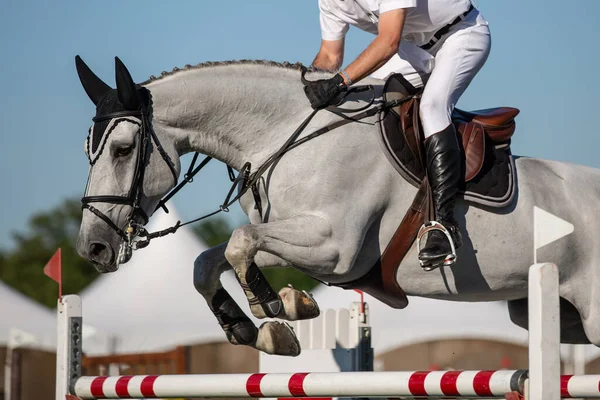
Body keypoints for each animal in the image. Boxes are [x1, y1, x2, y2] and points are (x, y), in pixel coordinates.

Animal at [74, 56, 600, 356]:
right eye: (88, 151)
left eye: (122, 149)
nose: (91, 249)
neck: (282, 136)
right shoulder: (296, 239)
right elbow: (210, 261)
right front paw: (253, 325)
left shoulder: (336, 249)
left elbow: (240, 243)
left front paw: (274, 305)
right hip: (550, 313)